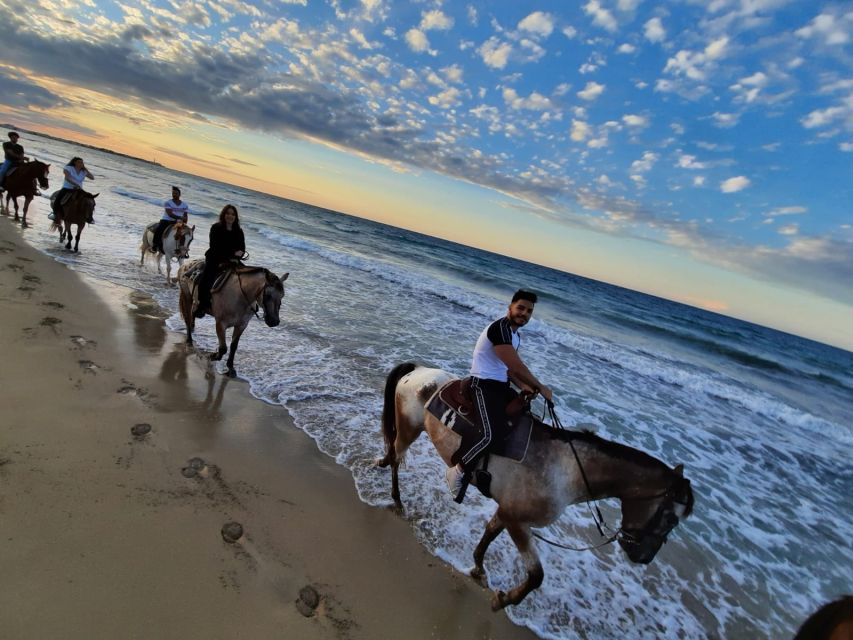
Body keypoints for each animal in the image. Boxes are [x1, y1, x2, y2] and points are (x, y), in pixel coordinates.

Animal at [378, 364, 692, 608]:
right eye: (670, 519)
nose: (644, 557)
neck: (565, 470)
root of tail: (419, 370)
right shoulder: (518, 522)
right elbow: (536, 575)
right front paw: (503, 599)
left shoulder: (506, 511)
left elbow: (488, 536)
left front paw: (478, 569)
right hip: (409, 429)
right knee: (396, 458)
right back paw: (397, 498)